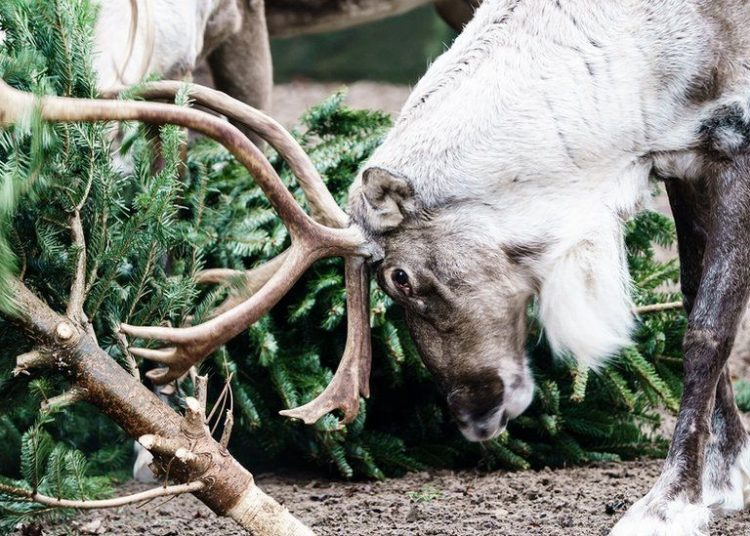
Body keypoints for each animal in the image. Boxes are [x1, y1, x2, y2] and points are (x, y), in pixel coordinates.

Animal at [72, 1, 750, 535]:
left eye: (399, 278)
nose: (473, 417)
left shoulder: (728, 145)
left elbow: (706, 329)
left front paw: (668, 504)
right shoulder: (683, 155)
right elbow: (695, 294)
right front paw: (726, 477)